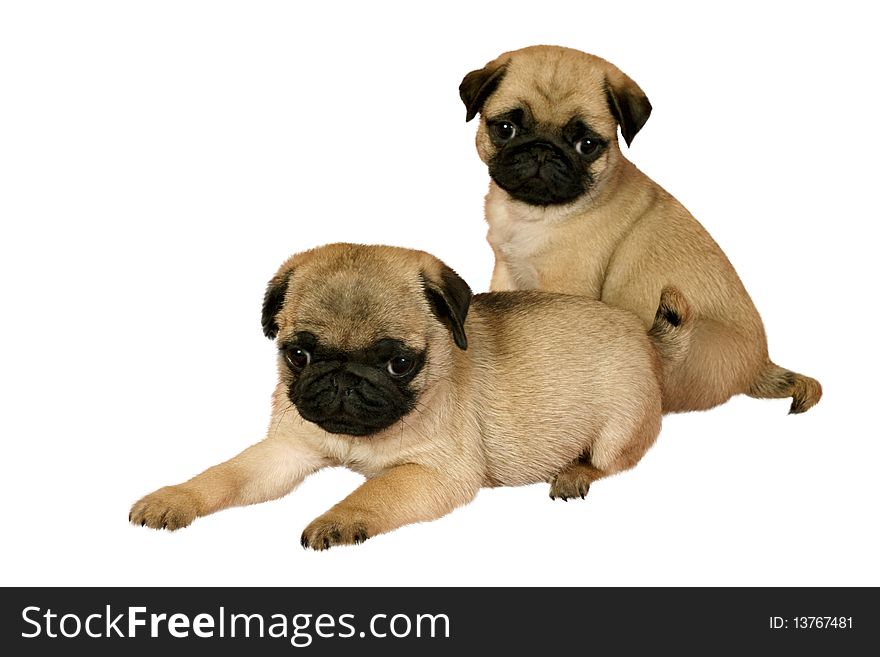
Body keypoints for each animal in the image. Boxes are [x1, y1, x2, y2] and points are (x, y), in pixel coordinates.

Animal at [131, 243, 692, 544]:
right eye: (299, 356)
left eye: (399, 363)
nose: (343, 379)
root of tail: (644, 335)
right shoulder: (285, 450)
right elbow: (223, 476)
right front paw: (174, 498)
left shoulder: (436, 473)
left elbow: (370, 492)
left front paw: (338, 520)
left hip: (618, 430)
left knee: (611, 460)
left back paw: (573, 472)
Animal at [458, 44, 820, 416]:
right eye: (505, 128)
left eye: (587, 144)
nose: (542, 150)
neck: (536, 212)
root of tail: (760, 365)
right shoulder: (508, 271)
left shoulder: (567, 286)